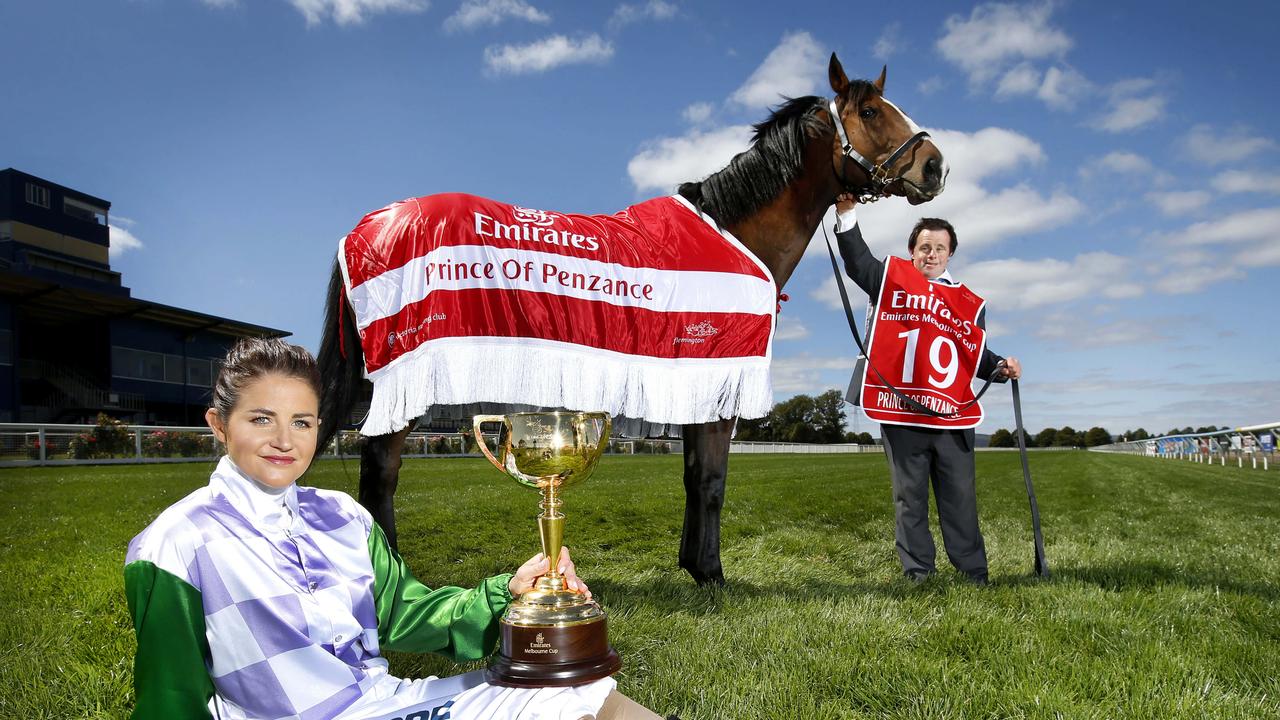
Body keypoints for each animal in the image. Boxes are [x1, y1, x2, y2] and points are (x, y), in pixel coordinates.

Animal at [314, 56, 947, 584]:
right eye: (871, 111)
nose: (936, 165)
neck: (732, 235)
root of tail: (369, 227)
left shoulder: (697, 385)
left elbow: (694, 478)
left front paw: (693, 566)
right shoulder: (717, 377)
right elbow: (712, 482)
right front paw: (713, 576)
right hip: (403, 378)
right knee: (380, 474)